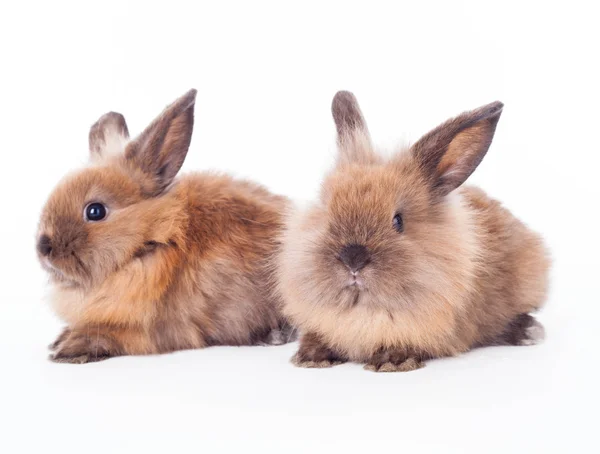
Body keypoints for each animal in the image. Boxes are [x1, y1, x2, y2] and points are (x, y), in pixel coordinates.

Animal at [36, 89, 294, 366]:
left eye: (95, 211)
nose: (43, 247)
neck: (152, 242)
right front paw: (59, 340)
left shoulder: (159, 329)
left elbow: (116, 336)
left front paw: (71, 348)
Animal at [278, 91, 552, 372]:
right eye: (327, 212)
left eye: (398, 221)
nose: (352, 259)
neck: (363, 309)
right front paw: (310, 357)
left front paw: (391, 362)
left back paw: (530, 332)